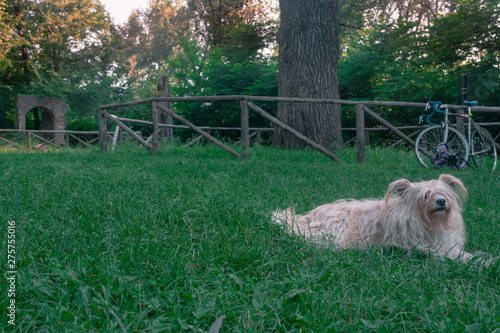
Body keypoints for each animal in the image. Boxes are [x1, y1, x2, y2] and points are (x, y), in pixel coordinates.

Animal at [272, 174, 486, 262]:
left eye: (444, 193)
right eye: (426, 195)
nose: (441, 201)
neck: (430, 222)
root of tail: (303, 218)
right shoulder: (421, 247)